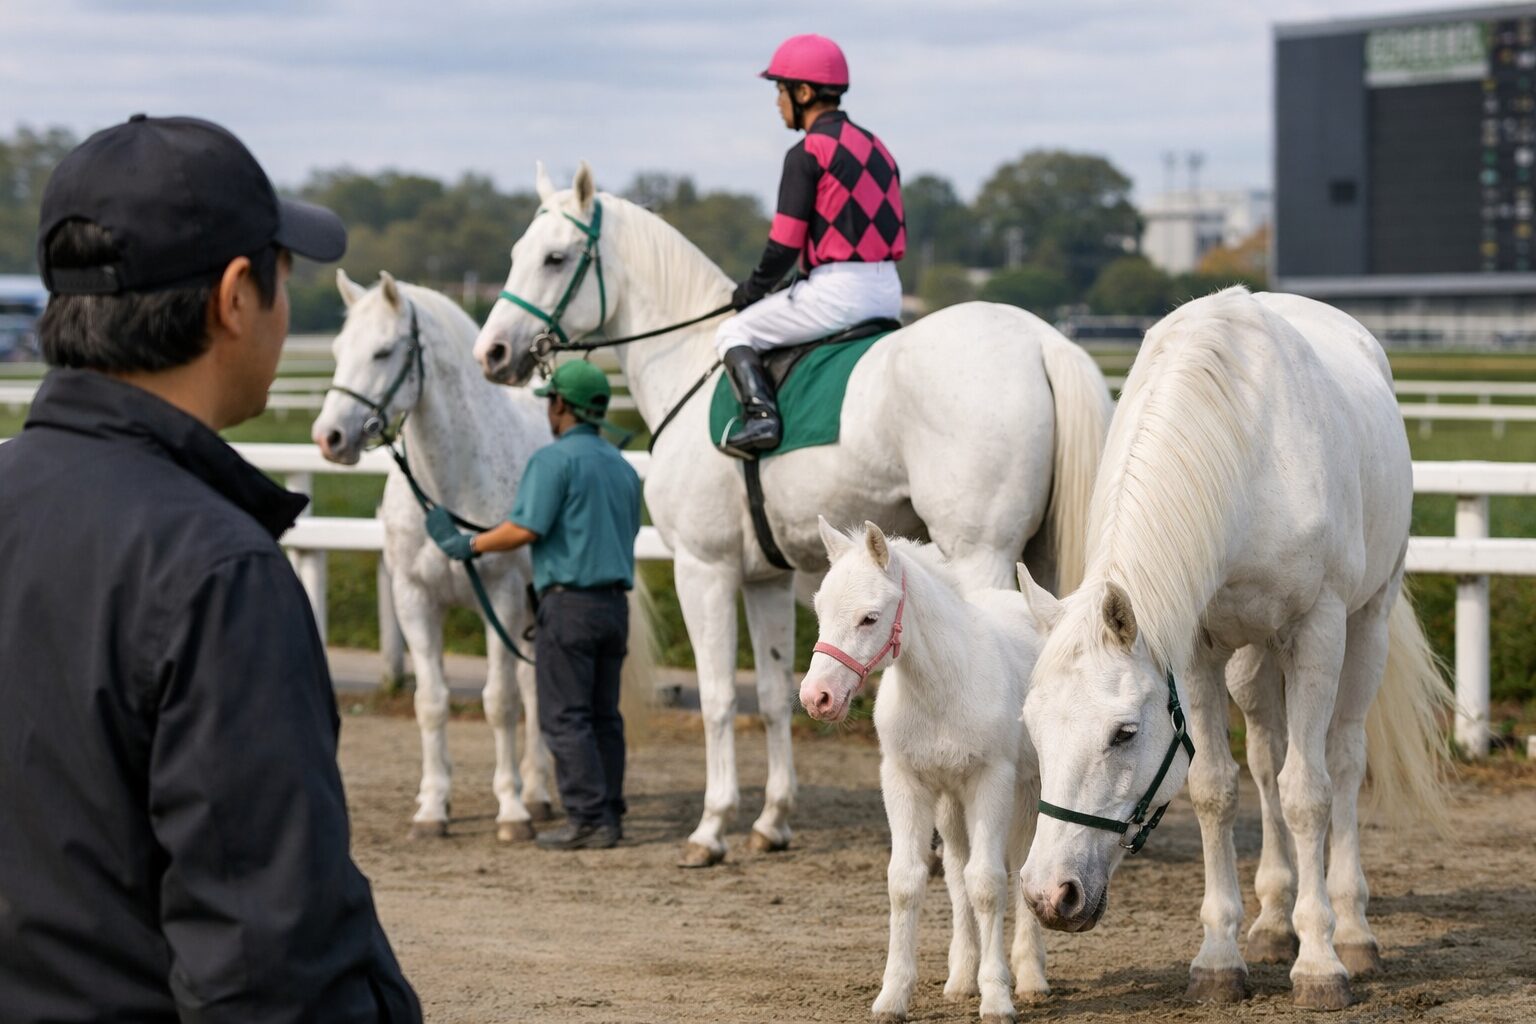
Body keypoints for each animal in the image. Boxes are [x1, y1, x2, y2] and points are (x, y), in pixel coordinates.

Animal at [313, 272, 564, 841]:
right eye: (337, 350)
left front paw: (510, 810)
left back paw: (534, 796)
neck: (449, 490)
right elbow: (430, 703)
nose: (329, 437)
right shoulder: (414, 600)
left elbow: (499, 703)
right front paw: (432, 809)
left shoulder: (502, 598)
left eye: (384, 351)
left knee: (531, 691)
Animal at [473, 161, 1113, 867]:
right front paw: (771, 820)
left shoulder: (704, 568)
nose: (493, 353)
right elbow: (777, 692)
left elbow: (719, 697)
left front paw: (711, 827)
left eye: (555, 258)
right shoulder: (766, 578)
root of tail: (1042, 341)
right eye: (516, 253)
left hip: (981, 552)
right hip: (1038, 556)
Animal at [802, 518, 1048, 1023]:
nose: (816, 698)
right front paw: (892, 996)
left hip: (1027, 788)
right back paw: (961, 978)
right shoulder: (904, 782)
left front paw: (997, 998)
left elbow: (988, 883)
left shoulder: (991, 781)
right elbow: (907, 881)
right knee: (955, 870)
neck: (939, 690)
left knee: (1018, 864)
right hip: (950, 800)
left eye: (869, 618)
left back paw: (1030, 977)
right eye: (819, 610)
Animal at [1015, 287, 1450, 1010]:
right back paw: (1274, 922)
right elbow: (1217, 789)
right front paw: (1219, 959)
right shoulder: (1194, 649)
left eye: (1124, 733)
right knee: (1268, 760)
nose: (1052, 895)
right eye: (1033, 729)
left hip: (1368, 625)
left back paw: (1352, 931)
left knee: (1342, 760)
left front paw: (1321, 964)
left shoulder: (1318, 630)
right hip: (1251, 661)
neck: (1246, 445)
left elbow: (1310, 793)